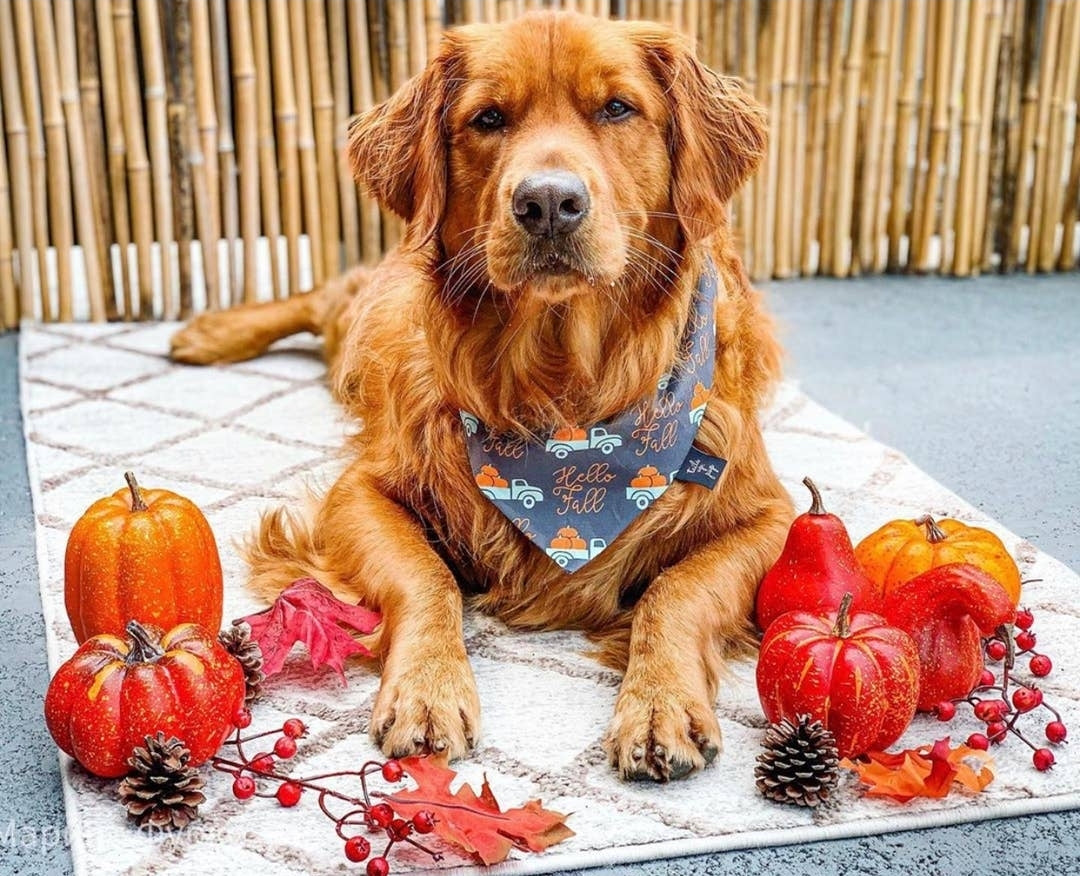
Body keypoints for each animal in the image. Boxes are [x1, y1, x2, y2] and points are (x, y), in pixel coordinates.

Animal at [170, 12, 794, 782]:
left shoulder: (770, 516)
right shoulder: (363, 490)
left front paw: (659, 703)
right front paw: (428, 689)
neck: (566, 399)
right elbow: (427, 576)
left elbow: (676, 590)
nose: (549, 203)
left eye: (618, 108)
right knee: (322, 297)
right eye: (489, 118)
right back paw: (211, 331)